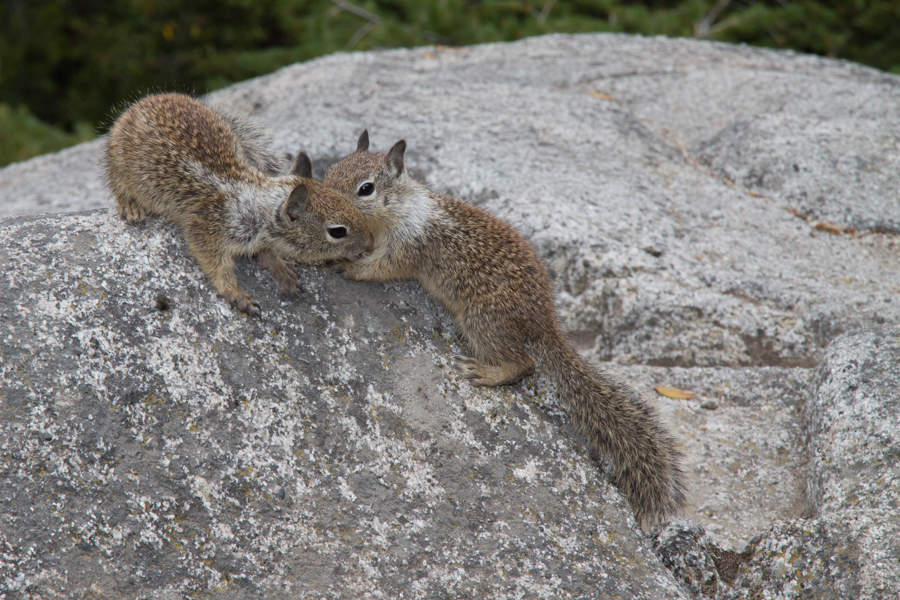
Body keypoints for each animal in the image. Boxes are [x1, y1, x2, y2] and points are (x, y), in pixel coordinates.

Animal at [103, 93, 374, 314]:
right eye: (337, 231)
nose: (371, 243)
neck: (257, 204)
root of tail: (140, 104)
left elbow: (266, 253)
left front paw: (278, 267)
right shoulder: (207, 229)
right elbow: (214, 263)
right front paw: (235, 292)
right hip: (119, 163)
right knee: (118, 185)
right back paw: (131, 207)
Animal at [326, 131, 684, 528]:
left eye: (366, 189)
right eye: (329, 172)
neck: (401, 210)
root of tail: (546, 323)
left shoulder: (407, 248)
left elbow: (379, 268)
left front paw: (347, 265)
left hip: (482, 322)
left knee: (523, 364)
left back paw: (486, 372)